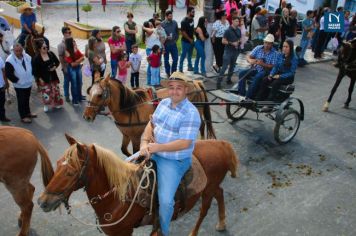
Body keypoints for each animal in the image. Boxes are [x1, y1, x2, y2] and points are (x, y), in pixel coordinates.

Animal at [37, 135, 239, 236]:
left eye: (70, 172)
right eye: (57, 164)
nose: (42, 202)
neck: (118, 198)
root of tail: (221, 144)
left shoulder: (124, 233)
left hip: (208, 189)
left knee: (205, 209)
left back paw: (195, 232)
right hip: (212, 186)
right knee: (220, 193)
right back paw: (222, 222)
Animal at [83, 75, 217, 157]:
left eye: (100, 95)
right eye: (89, 92)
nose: (87, 116)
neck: (130, 107)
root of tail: (196, 83)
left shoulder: (135, 137)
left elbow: (135, 151)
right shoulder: (126, 135)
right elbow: (124, 150)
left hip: (197, 111)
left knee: (201, 125)